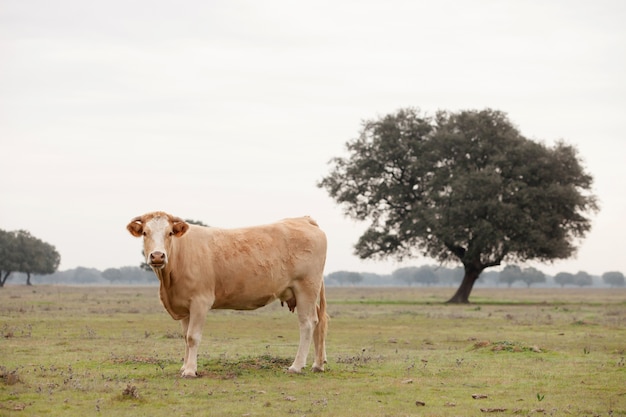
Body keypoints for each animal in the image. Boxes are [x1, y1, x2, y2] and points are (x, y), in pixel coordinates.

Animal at [128, 211, 332, 376]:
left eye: (169, 233)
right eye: (145, 233)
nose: (157, 256)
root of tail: (303, 219)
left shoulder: (200, 301)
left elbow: (193, 337)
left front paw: (190, 371)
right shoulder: (184, 304)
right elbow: (185, 337)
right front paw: (185, 366)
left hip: (306, 287)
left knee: (307, 324)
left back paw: (296, 366)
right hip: (305, 292)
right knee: (319, 322)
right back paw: (318, 364)